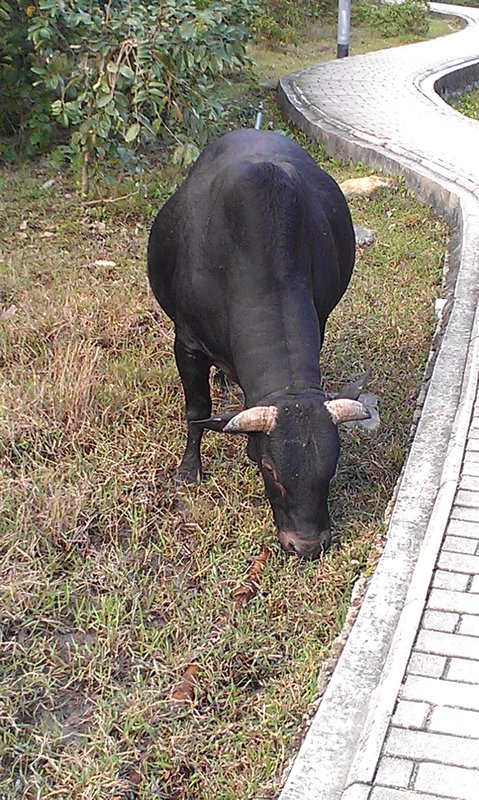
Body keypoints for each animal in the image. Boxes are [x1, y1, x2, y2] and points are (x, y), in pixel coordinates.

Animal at [147, 130, 372, 556]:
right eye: (270, 470)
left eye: (331, 468)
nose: (307, 545)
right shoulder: (186, 343)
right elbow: (196, 409)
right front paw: (189, 469)